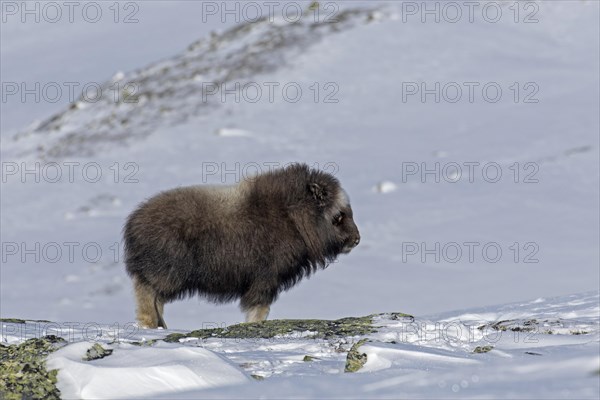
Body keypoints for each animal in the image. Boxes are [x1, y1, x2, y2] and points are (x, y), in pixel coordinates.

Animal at [121, 162, 356, 328]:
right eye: (338, 216)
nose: (356, 240)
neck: (292, 216)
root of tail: (134, 222)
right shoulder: (265, 278)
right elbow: (260, 309)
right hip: (166, 275)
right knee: (148, 295)